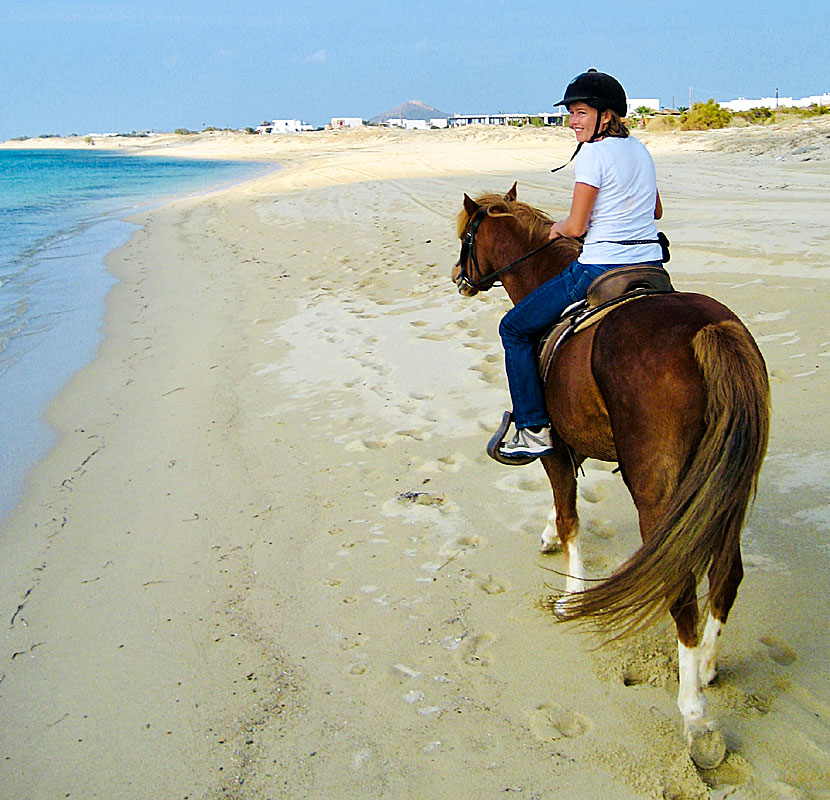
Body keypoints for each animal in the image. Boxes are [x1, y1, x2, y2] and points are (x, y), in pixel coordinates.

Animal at [452, 183, 772, 768]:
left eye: (467, 236)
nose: (455, 277)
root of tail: (709, 330)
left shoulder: (554, 445)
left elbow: (570, 515)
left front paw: (570, 593)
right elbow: (562, 511)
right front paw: (548, 537)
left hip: (659, 495)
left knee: (680, 588)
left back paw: (694, 716)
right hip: (728, 487)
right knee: (726, 574)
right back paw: (708, 666)